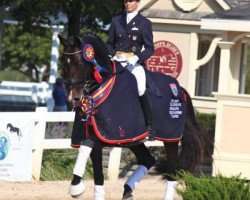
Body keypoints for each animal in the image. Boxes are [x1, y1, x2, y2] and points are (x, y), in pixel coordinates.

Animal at [58, 33, 209, 199]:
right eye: (63, 63)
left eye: (79, 63)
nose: (72, 98)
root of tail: (179, 89)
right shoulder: (102, 136)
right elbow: (98, 176)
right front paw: (77, 186)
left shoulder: (106, 134)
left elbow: (86, 145)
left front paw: (76, 188)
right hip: (134, 139)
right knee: (148, 159)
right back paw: (128, 189)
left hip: (171, 139)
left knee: (172, 171)